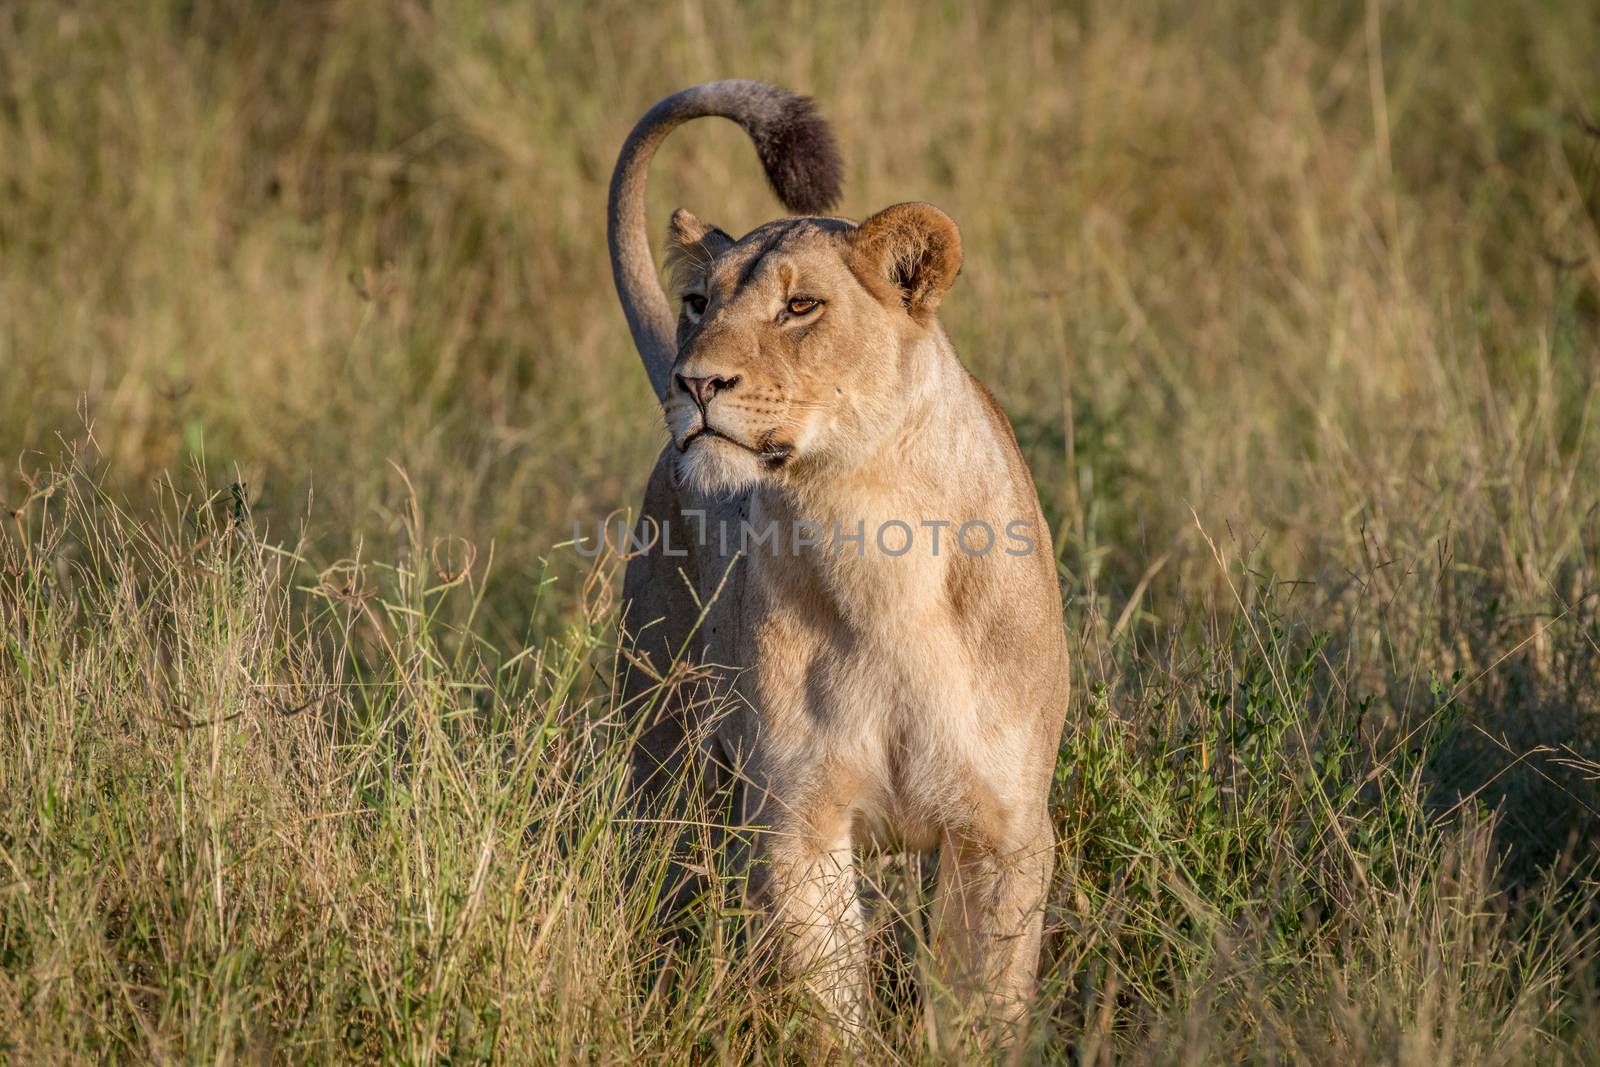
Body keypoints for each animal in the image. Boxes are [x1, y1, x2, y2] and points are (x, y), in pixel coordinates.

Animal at [604, 79, 1068, 1036]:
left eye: (800, 307)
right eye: (699, 302)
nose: (693, 382)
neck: (868, 537)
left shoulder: (1003, 832)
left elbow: (979, 1008)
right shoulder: (798, 820)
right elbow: (830, 1007)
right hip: (664, 750)